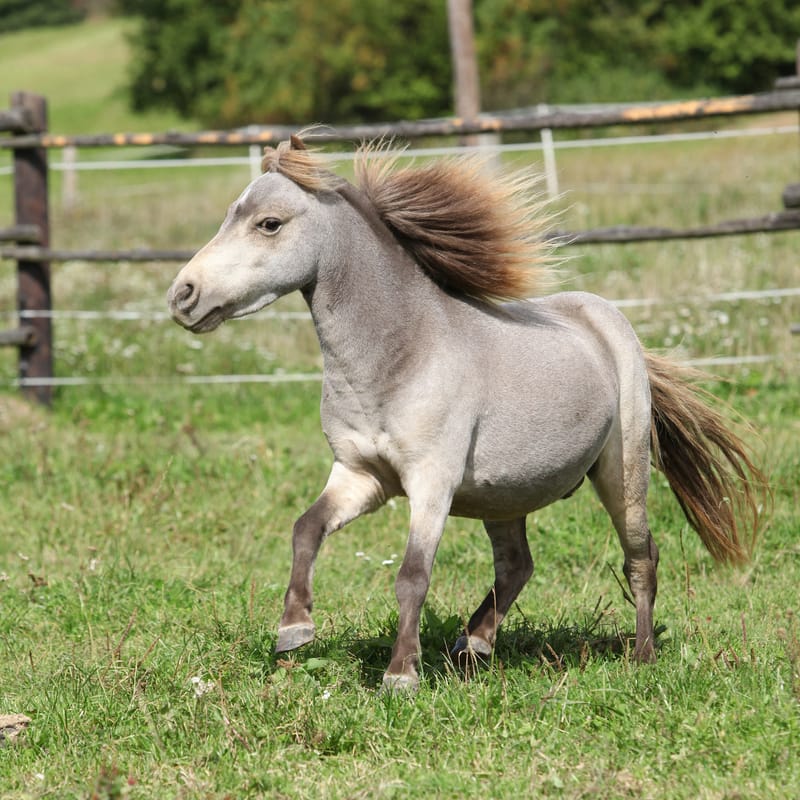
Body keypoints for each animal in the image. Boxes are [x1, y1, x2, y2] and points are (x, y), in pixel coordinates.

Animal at [167, 135, 764, 692]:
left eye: (268, 223)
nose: (182, 296)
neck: (401, 356)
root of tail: (606, 318)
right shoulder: (361, 476)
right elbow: (306, 529)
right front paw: (294, 630)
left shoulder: (431, 482)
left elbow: (412, 575)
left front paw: (400, 675)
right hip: (506, 496)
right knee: (517, 564)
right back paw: (473, 645)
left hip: (623, 472)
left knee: (640, 556)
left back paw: (640, 657)